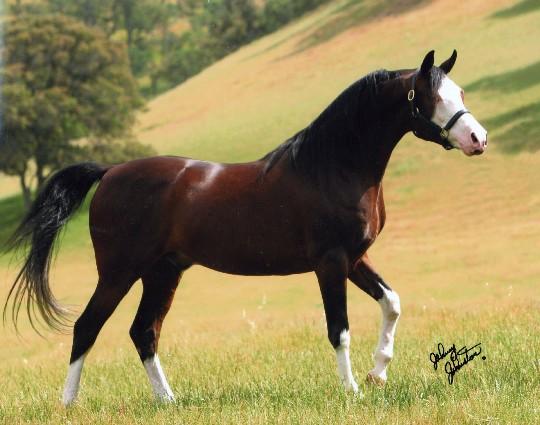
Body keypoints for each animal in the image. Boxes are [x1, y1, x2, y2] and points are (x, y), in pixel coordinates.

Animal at [4, 50, 487, 405]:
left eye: (459, 90)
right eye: (430, 96)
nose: (477, 139)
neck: (331, 166)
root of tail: (110, 172)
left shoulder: (355, 258)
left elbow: (392, 303)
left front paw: (378, 373)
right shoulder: (330, 263)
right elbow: (340, 328)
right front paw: (352, 390)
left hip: (162, 273)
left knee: (143, 331)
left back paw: (169, 401)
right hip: (119, 272)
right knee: (87, 326)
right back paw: (69, 403)